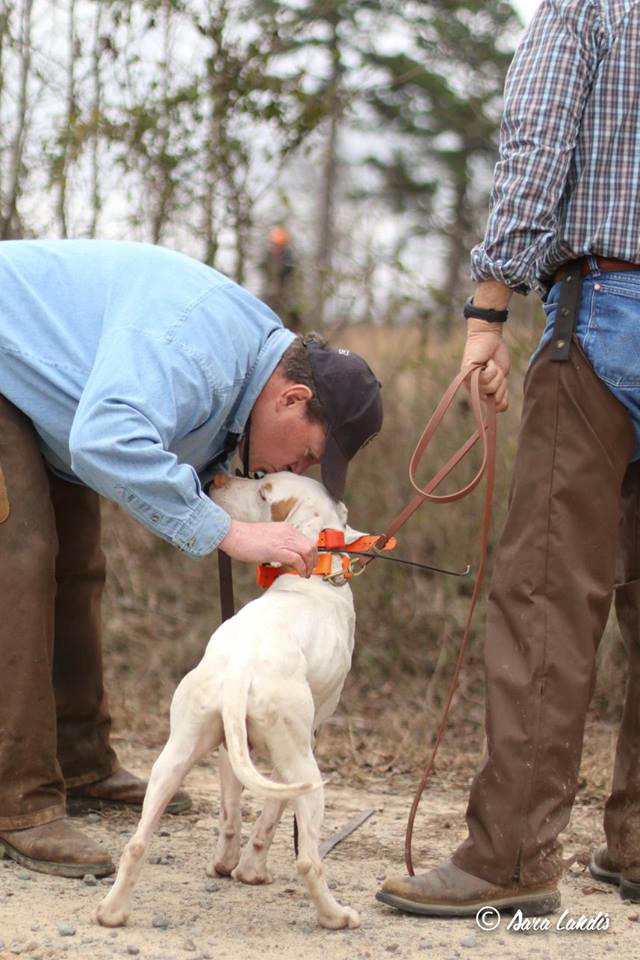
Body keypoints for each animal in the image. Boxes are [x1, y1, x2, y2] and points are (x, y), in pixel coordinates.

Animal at [97, 472, 364, 930]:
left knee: (136, 842)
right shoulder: (304, 744)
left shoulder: (227, 749)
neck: (310, 580)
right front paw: (251, 872)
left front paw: (226, 867)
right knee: (309, 861)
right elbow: (270, 816)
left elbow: (231, 815)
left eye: (262, 488)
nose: (217, 477)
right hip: (305, 771)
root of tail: (241, 668)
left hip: (174, 757)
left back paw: (112, 912)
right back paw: (336, 916)